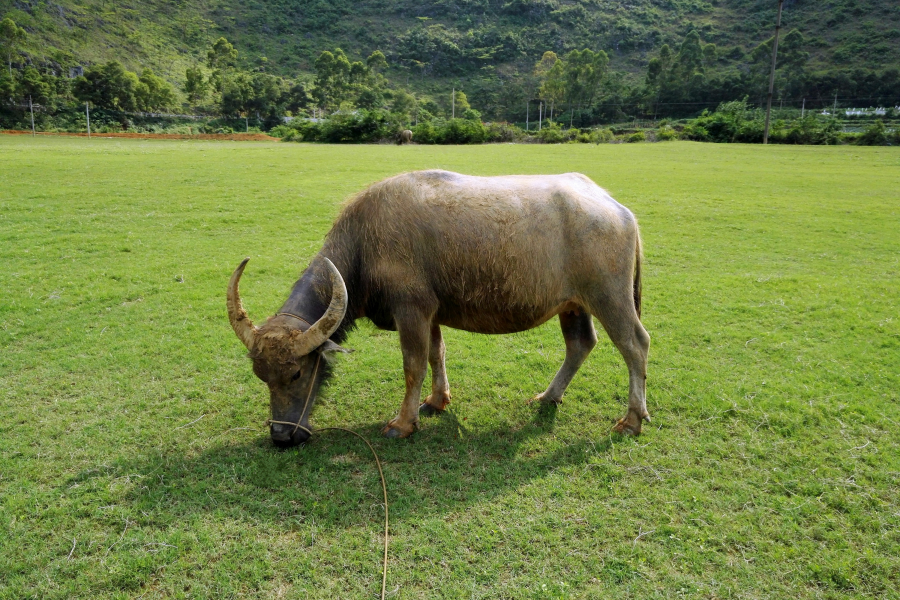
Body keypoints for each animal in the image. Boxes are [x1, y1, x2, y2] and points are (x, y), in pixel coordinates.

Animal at [224, 169, 648, 446]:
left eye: (296, 373)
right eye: (262, 375)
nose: (281, 435)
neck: (365, 245)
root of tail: (617, 208)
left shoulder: (411, 310)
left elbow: (413, 365)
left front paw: (403, 422)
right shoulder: (430, 313)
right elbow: (435, 353)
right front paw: (437, 400)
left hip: (610, 297)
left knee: (635, 345)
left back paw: (631, 420)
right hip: (573, 305)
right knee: (580, 344)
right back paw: (548, 396)